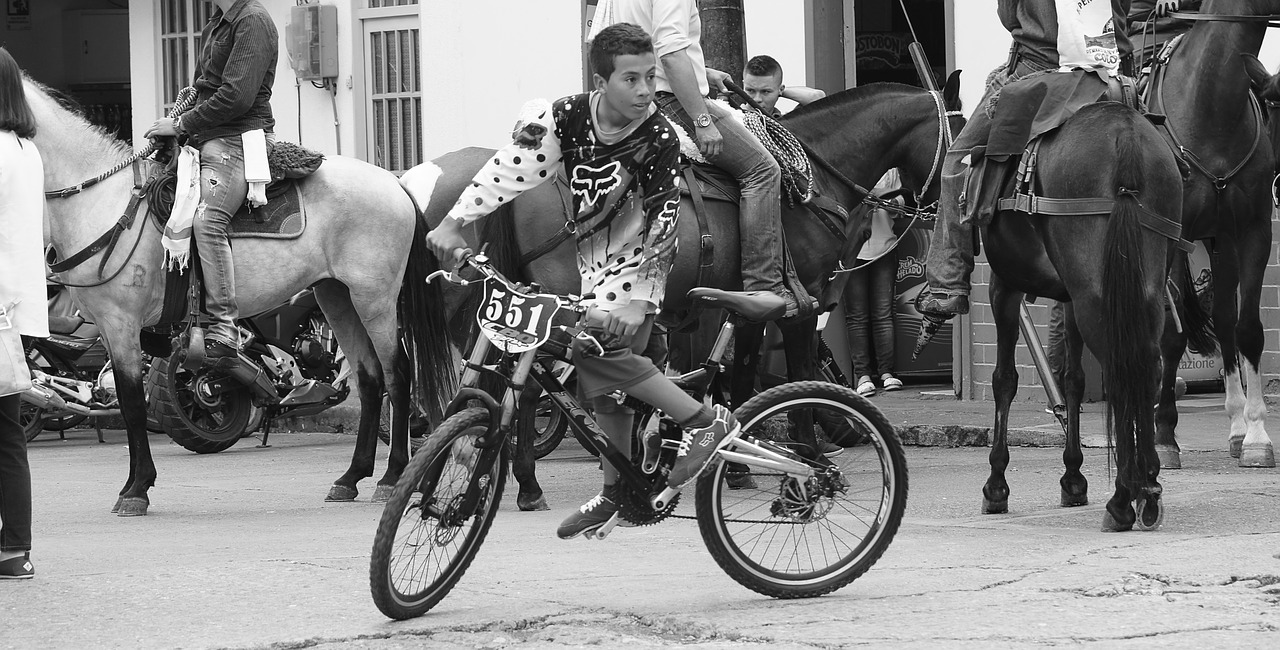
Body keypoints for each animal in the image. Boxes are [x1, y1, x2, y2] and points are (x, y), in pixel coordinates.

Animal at [1146, 0, 1274, 468]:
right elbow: (1170, 336)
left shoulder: (1252, 231)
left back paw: (1236, 425)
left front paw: (1255, 435)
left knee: (1221, 319)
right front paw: (1163, 436)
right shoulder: (1168, 233)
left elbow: (1246, 327)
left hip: (1219, 243)